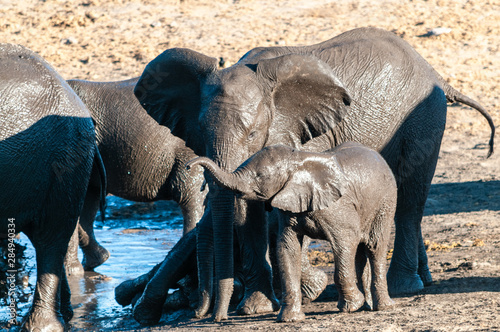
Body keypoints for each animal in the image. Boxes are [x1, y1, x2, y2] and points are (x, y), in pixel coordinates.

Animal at [186, 142, 396, 322]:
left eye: (260, 176)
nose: (189, 166)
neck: (298, 160)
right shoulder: (288, 207)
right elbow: (287, 248)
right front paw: (289, 319)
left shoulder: (338, 206)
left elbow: (344, 243)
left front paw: (351, 306)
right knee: (361, 253)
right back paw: (368, 306)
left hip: (386, 203)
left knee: (374, 247)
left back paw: (381, 307)